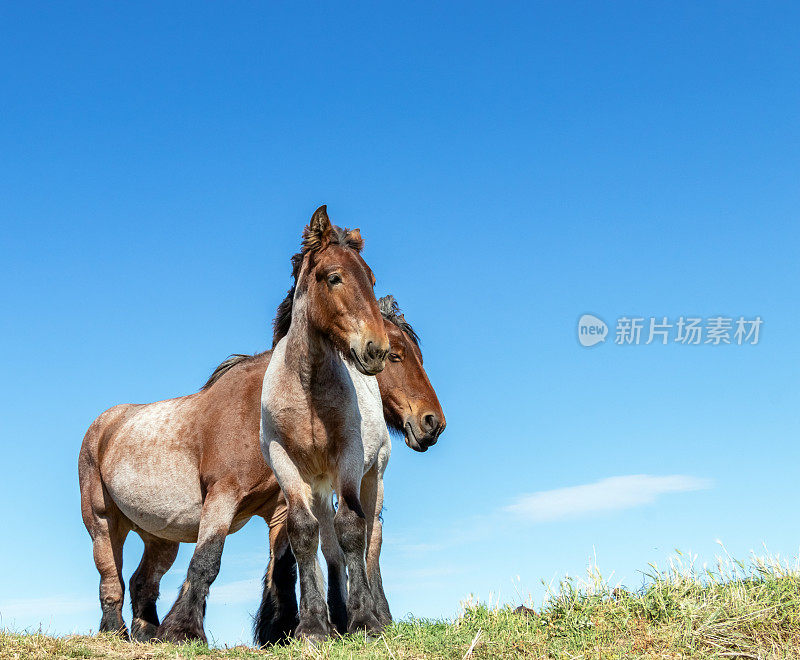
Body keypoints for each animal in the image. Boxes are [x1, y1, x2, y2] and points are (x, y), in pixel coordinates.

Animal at [78, 208, 446, 644]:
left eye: (371, 281)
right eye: (398, 356)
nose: (432, 422)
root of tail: (105, 423)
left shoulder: (281, 506)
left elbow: (287, 564)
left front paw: (291, 626)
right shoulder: (222, 494)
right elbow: (208, 559)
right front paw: (186, 629)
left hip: (161, 536)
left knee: (141, 581)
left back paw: (147, 631)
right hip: (103, 522)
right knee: (111, 578)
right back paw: (114, 631)